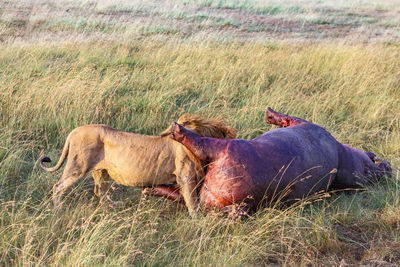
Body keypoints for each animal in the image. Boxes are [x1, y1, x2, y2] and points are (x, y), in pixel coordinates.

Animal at [39, 114, 234, 217]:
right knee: (58, 186)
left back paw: (113, 205)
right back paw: (58, 210)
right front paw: (198, 219)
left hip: (101, 170)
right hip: (78, 165)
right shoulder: (186, 177)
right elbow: (192, 201)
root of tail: (73, 132)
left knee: (99, 191)